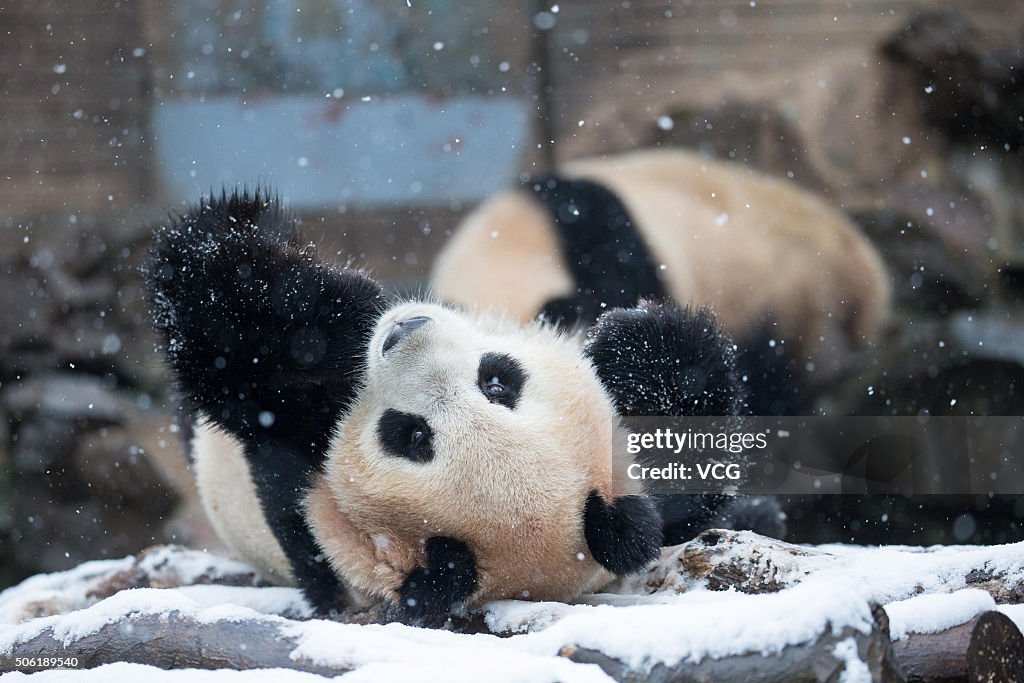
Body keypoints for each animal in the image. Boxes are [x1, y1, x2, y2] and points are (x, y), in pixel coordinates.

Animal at [148, 189, 765, 622]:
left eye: (411, 436)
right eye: (498, 382)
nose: (402, 332)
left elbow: (239, 357)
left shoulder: (308, 493)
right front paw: (632, 344)